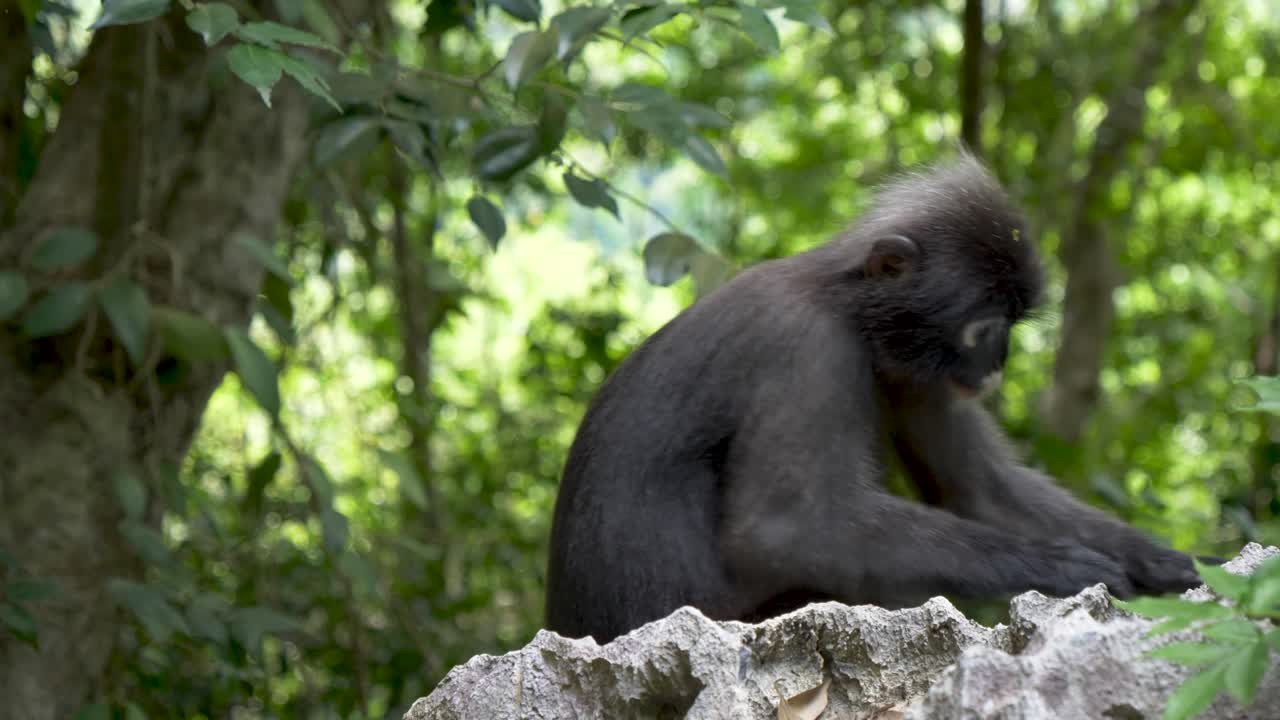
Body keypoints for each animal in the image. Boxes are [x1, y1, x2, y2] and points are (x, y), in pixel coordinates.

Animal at [543, 154, 1202, 644]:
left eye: (1013, 324)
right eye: (986, 329)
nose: (998, 365)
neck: (845, 305)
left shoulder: (913, 370)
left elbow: (978, 493)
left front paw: (1162, 562)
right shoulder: (807, 348)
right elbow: (782, 530)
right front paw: (1058, 567)